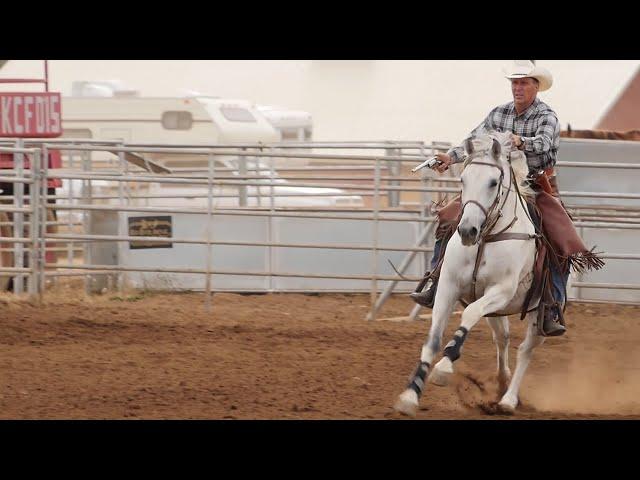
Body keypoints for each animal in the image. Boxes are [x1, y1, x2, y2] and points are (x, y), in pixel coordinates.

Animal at [396, 129, 544, 414]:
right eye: (463, 179)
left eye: (493, 182)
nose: (467, 230)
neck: (486, 238)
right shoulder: (448, 286)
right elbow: (433, 339)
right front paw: (410, 395)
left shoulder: (501, 290)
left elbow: (469, 313)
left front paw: (444, 367)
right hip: (498, 311)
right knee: (502, 338)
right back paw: (501, 382)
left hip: (538, 309)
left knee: (526, 349)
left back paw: (509, 399)